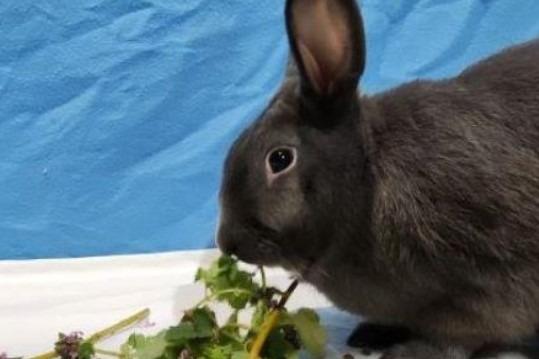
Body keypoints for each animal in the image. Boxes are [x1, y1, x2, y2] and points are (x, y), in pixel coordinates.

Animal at [217, 0, 539, 358]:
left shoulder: (487, 286)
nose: (226, 242)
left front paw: (409, 352)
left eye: (280, 159)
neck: (368, 178)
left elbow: (456, 337)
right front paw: (371, 334)